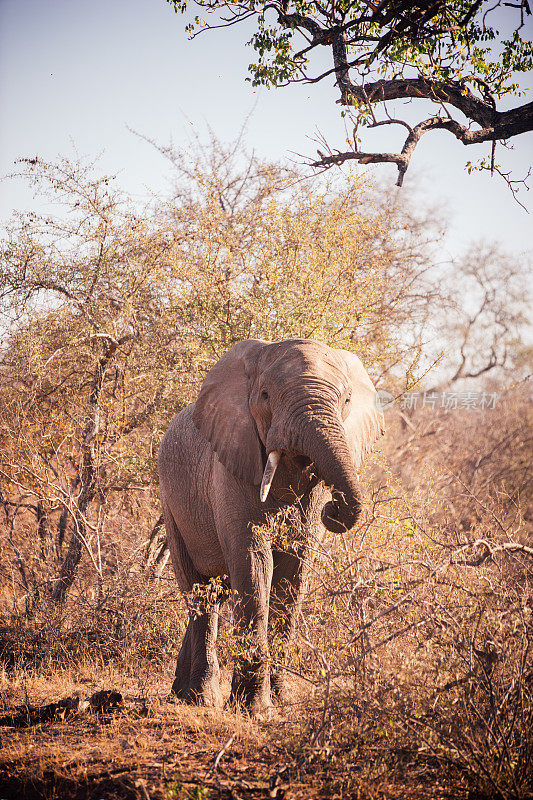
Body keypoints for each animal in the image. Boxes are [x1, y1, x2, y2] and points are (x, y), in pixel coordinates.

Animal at [158, 334, 382, 716]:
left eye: (347, 400)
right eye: (265, 396)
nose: (332, 508)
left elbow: (294, 572)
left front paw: (279, 701)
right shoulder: (230, 463)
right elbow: (254, 562)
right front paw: (254, 708)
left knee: (215, 593)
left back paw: (182, 693)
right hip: (170, 501)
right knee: (199, 592)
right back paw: (200, 697)